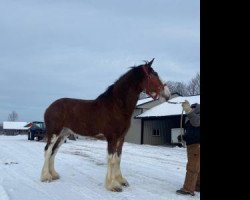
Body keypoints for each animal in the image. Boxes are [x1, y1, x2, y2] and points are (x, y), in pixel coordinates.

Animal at [40, 58, 170, 192]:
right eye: (154, 75)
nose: (168, 94)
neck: (117, 106)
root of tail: (49, 107)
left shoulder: (121, 138)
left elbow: (118, 158)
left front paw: (121, 180)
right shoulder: (112, 137)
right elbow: (111, 159)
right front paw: (112, 185)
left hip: (63, 134)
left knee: (54, 151)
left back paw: (54, 175)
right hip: (54, 133)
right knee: (48, 151)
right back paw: (46, 177)